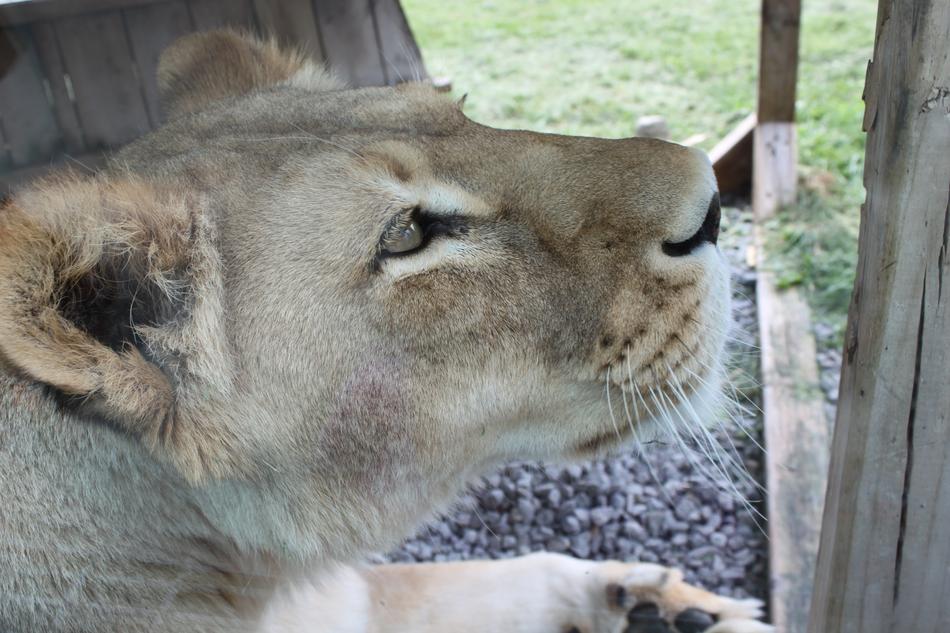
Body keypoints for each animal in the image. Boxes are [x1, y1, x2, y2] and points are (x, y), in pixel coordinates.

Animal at [0, 30, 771, 633]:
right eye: (406, 233)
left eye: (464, 116)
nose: (710, 200)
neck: (252, 582)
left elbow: (510, 573)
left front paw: (668, 603)